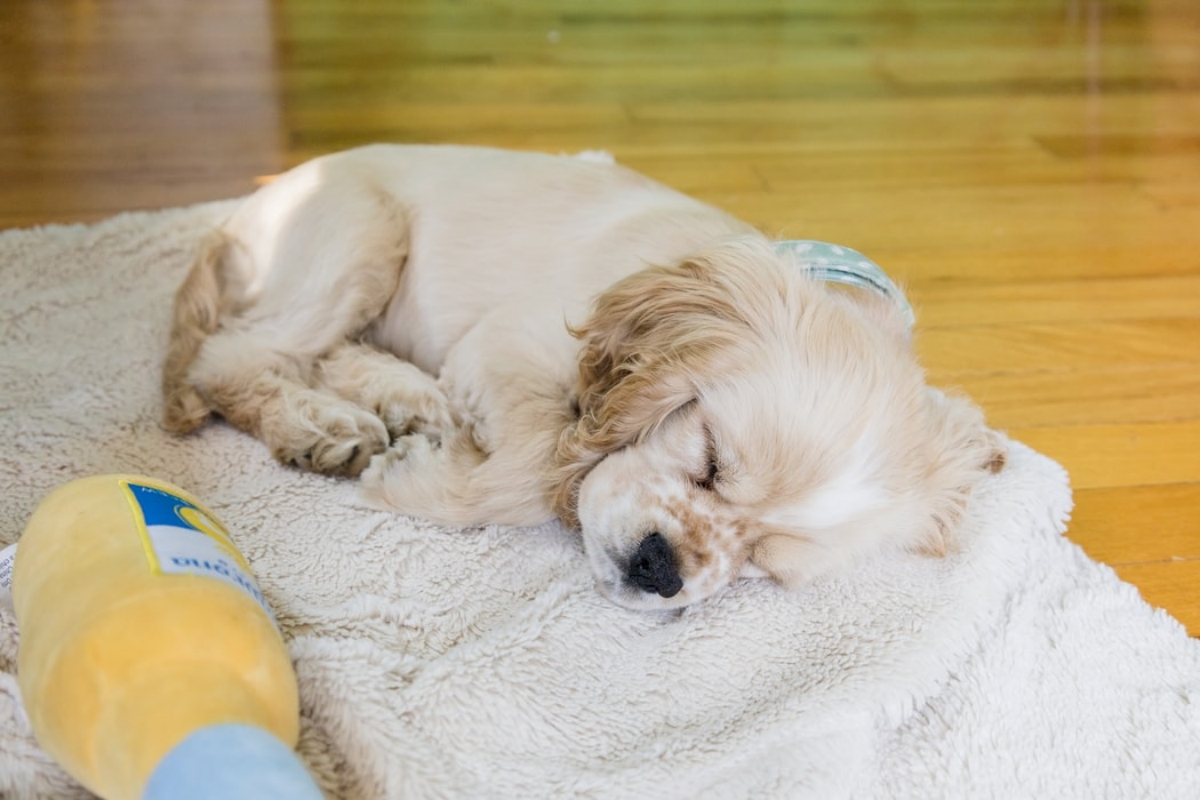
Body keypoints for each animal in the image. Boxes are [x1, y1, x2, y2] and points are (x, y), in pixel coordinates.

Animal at [162, 143, 1003, 609]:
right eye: (709, 460)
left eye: (765, 564)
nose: (661, 570)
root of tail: (241, 211)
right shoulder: (504, 342)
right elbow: (535, 469)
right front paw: (415, 482)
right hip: (364, 232)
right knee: (235, 356)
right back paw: (318, 427)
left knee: (320, 350)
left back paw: (409, 402)